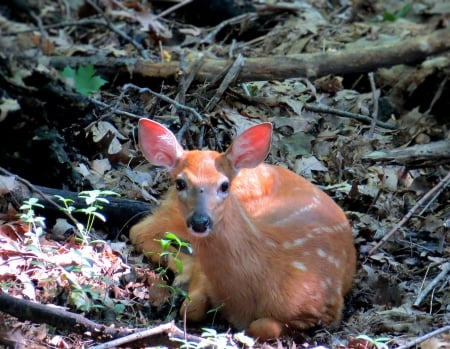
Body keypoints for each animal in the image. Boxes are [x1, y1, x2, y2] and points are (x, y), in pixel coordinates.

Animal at [130, 117, 356, 340]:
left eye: (224, 185)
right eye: (180, 183)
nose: (200, 221)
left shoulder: (326, 309)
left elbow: (263, 326)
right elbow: (191, 308)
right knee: (140, 230)